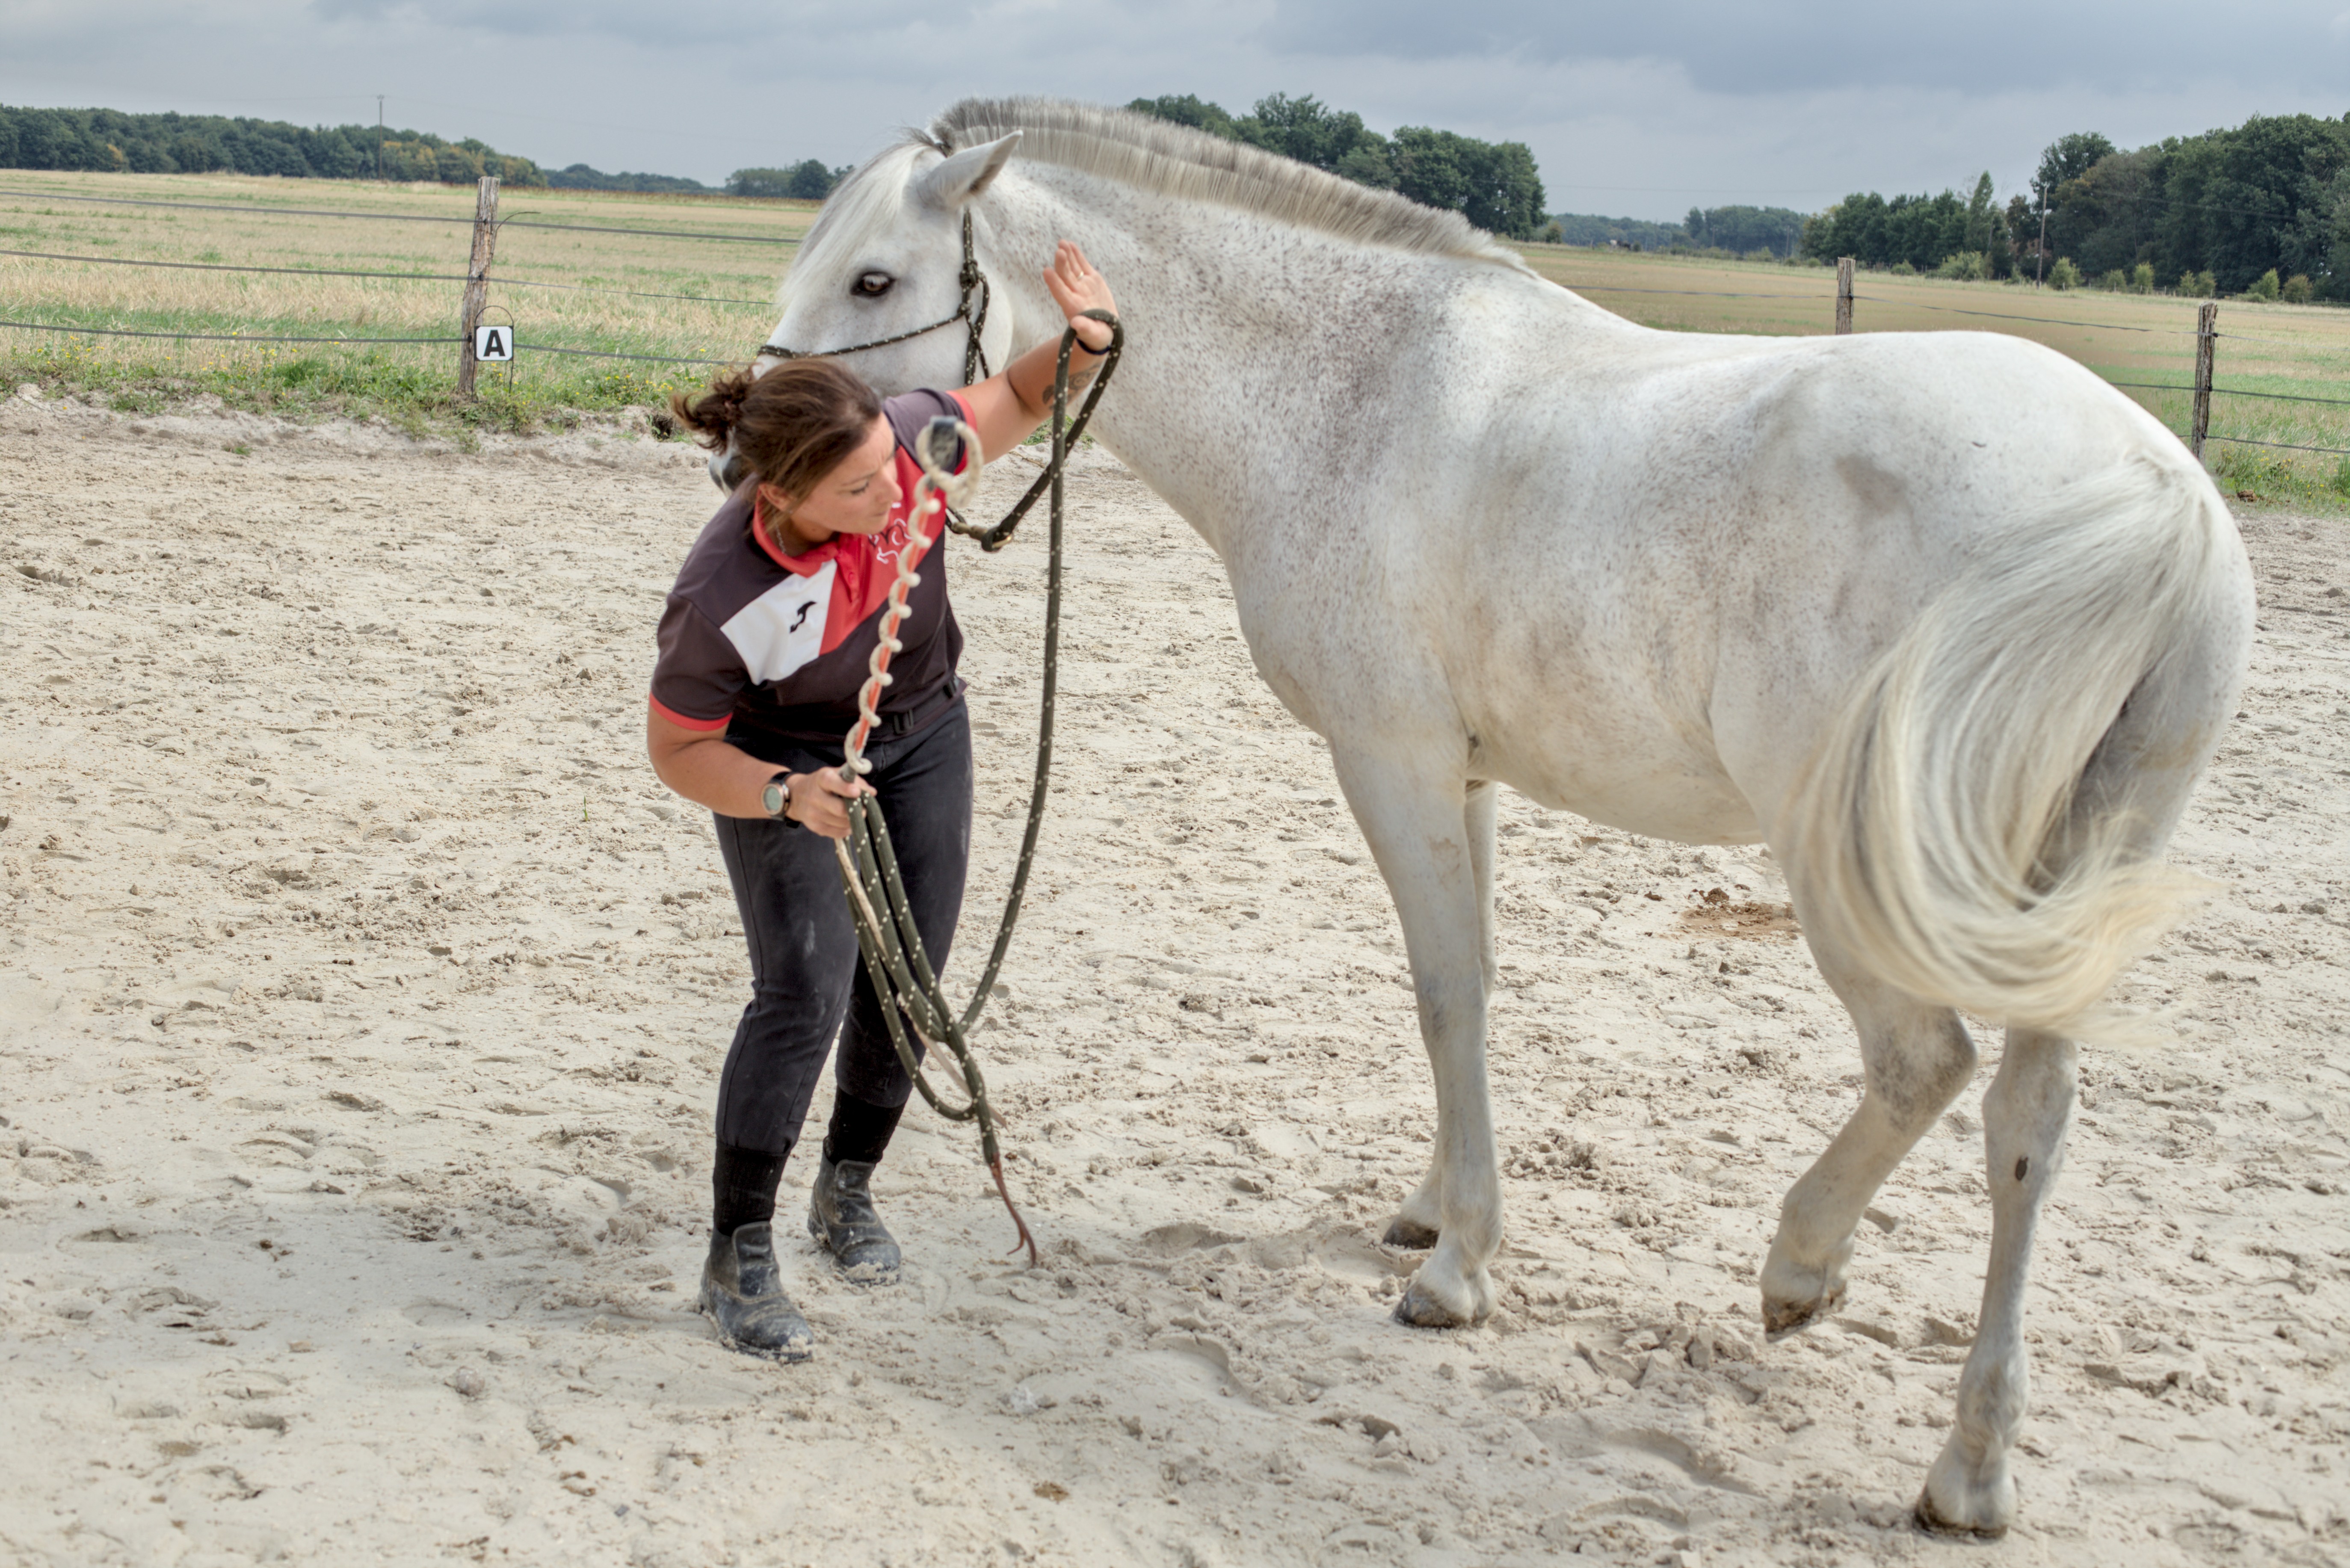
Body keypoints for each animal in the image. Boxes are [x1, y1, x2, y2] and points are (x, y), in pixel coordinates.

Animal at [745, 98, 2255, 1536]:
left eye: (875, 277)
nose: (746, 449)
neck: (1349, 394)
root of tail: (2149, 496)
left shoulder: (1394, 761)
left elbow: (1445, 992)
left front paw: (1459, 1271)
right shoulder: (1462, 780)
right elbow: (1471, 981)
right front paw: (1429, 1217)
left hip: (1853, 865)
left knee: (1918, 1063)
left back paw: (1800, 1270)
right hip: (2080, 870)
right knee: (2025, 1118)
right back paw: (1970, 1468)